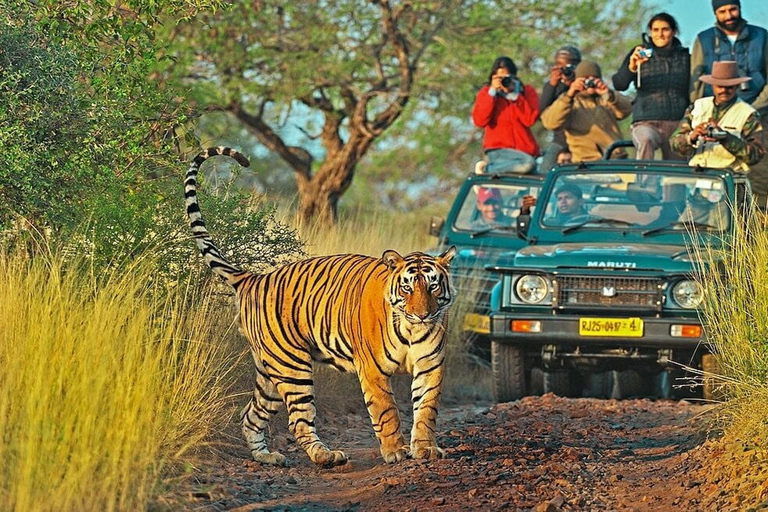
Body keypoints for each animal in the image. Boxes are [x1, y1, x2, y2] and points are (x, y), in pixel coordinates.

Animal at [185, 146, 456, 466]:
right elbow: (387, 411)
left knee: (250, 415)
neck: (411, 329)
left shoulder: (430, 365)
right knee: (298, 420)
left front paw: (425, 448)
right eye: (407, 287)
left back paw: (267, 457)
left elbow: (426, 410)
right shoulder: (373, 371)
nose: (422, 314)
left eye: (433, 286)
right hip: (291, 366)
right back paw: (326, 456)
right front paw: (396, 451)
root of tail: (254, 278)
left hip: (269, 371)